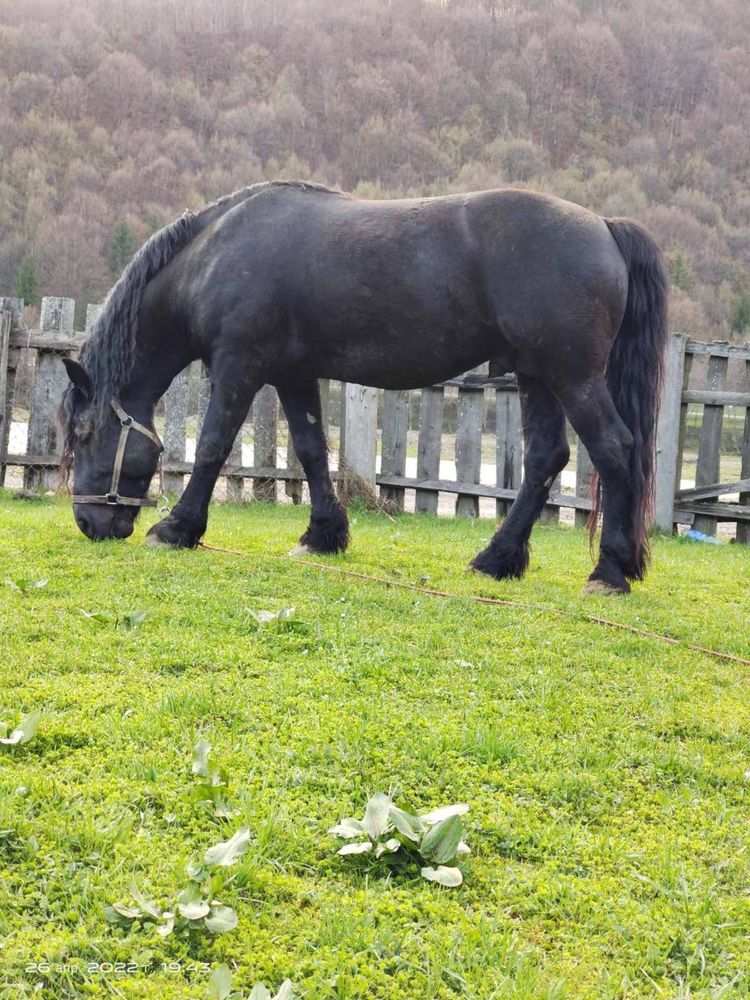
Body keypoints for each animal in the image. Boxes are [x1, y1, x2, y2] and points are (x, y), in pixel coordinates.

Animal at [60, 182, 668, 592]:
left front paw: (176, 528)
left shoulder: (238, 368)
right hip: (536, 374)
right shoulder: (292, 375)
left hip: (572, 376)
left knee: (613, 449)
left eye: (85, 433)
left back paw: (609, 571)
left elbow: (212, 447)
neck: (214, 255)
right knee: (547, 457)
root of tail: (604, 225)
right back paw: (496, 560)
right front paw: (322, 536)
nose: (90, 523)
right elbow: (311, 451)